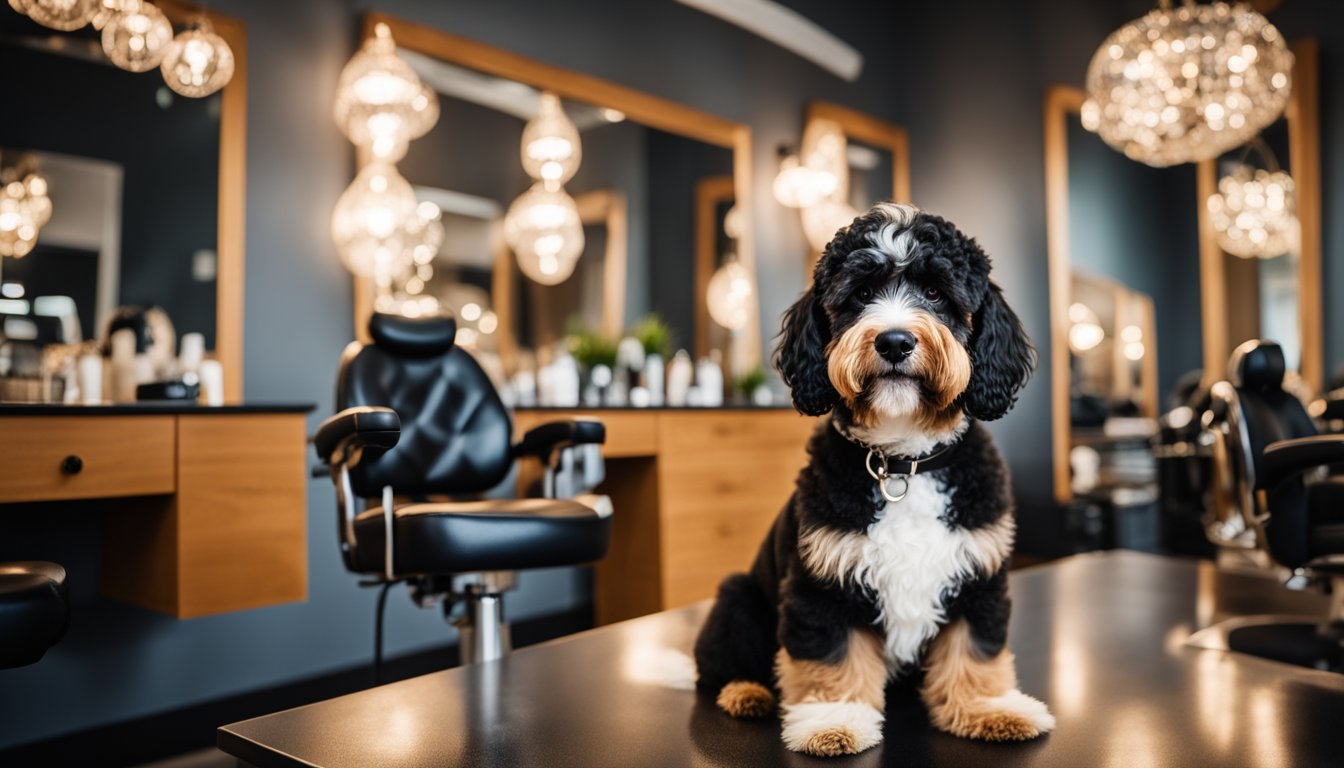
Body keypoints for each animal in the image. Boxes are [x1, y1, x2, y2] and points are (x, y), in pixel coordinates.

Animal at [693, 203, 1048, 758]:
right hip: (738, 600)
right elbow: (832, 658)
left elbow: (975, 650)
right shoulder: (822, 586)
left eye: (936, 293)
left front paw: (988, 708)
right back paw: (747, 693)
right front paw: (832, 720)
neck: (902, 464)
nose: (895, 340)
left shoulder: (979, 578)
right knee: (716, 671)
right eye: (860, 294)